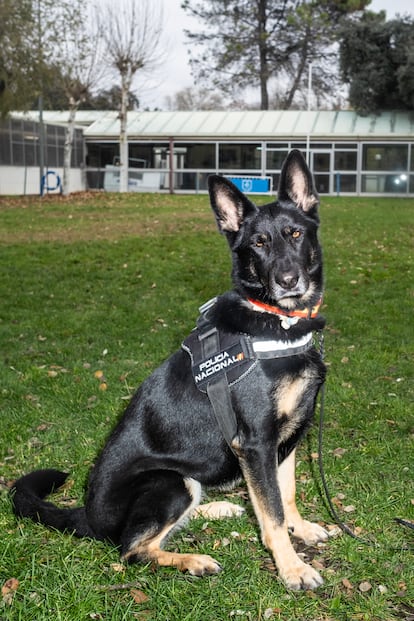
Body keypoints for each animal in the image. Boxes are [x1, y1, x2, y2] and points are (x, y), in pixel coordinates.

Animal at [10, 150, 330, 592]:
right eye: (259, 244)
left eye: (295, 234)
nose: (287, 281)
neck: (276, 323)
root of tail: (87, 515)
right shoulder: (256, 444)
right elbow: (273, 514)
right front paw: (292, 567)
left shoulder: (287, 439)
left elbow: (286, 496)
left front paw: (301, 530)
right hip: (168, 481)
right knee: (132, 549)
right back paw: (193, 560)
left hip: (187, 480)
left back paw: (219, 509)